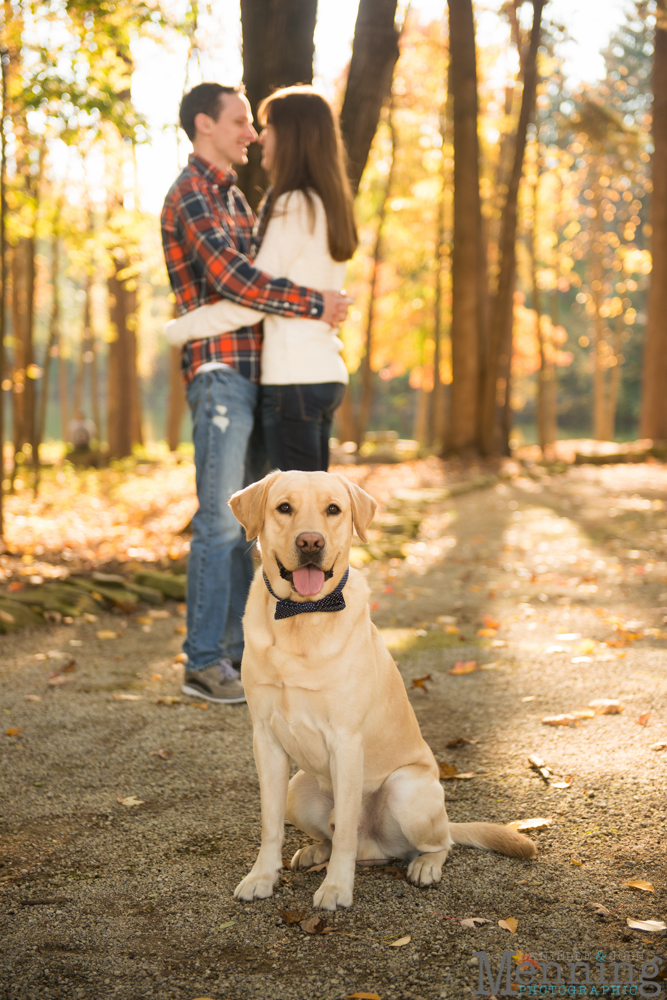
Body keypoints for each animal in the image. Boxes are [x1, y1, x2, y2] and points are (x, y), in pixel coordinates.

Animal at [230, 472, 536, 912]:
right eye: (283, 507)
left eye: (333, 509)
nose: (311, 543)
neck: (303, 616)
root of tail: (374, 849)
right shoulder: (266, 740)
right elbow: (271, 824)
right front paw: (262, 877)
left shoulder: (346, 740)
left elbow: (344, 832)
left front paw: (337, 888)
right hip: (298, 788)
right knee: (332, 834)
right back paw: (314, 852)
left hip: (405, 790)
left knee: (436, 843)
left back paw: (424, 865)